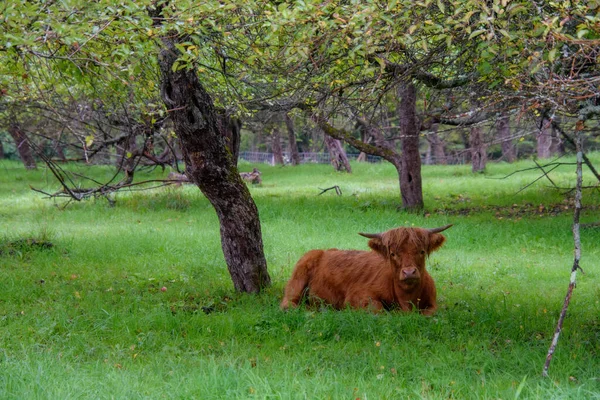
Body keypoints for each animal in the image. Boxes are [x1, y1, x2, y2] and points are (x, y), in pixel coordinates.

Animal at [280, 225, 450, 316]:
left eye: (421, 251)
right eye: (393, 254)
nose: (409, 273)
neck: (407, 299)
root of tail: (323, 251)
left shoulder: (432, 303)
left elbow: (430, 312)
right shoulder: (357, 297)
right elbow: (379, 309)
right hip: (297, 280)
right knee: (288, 303)